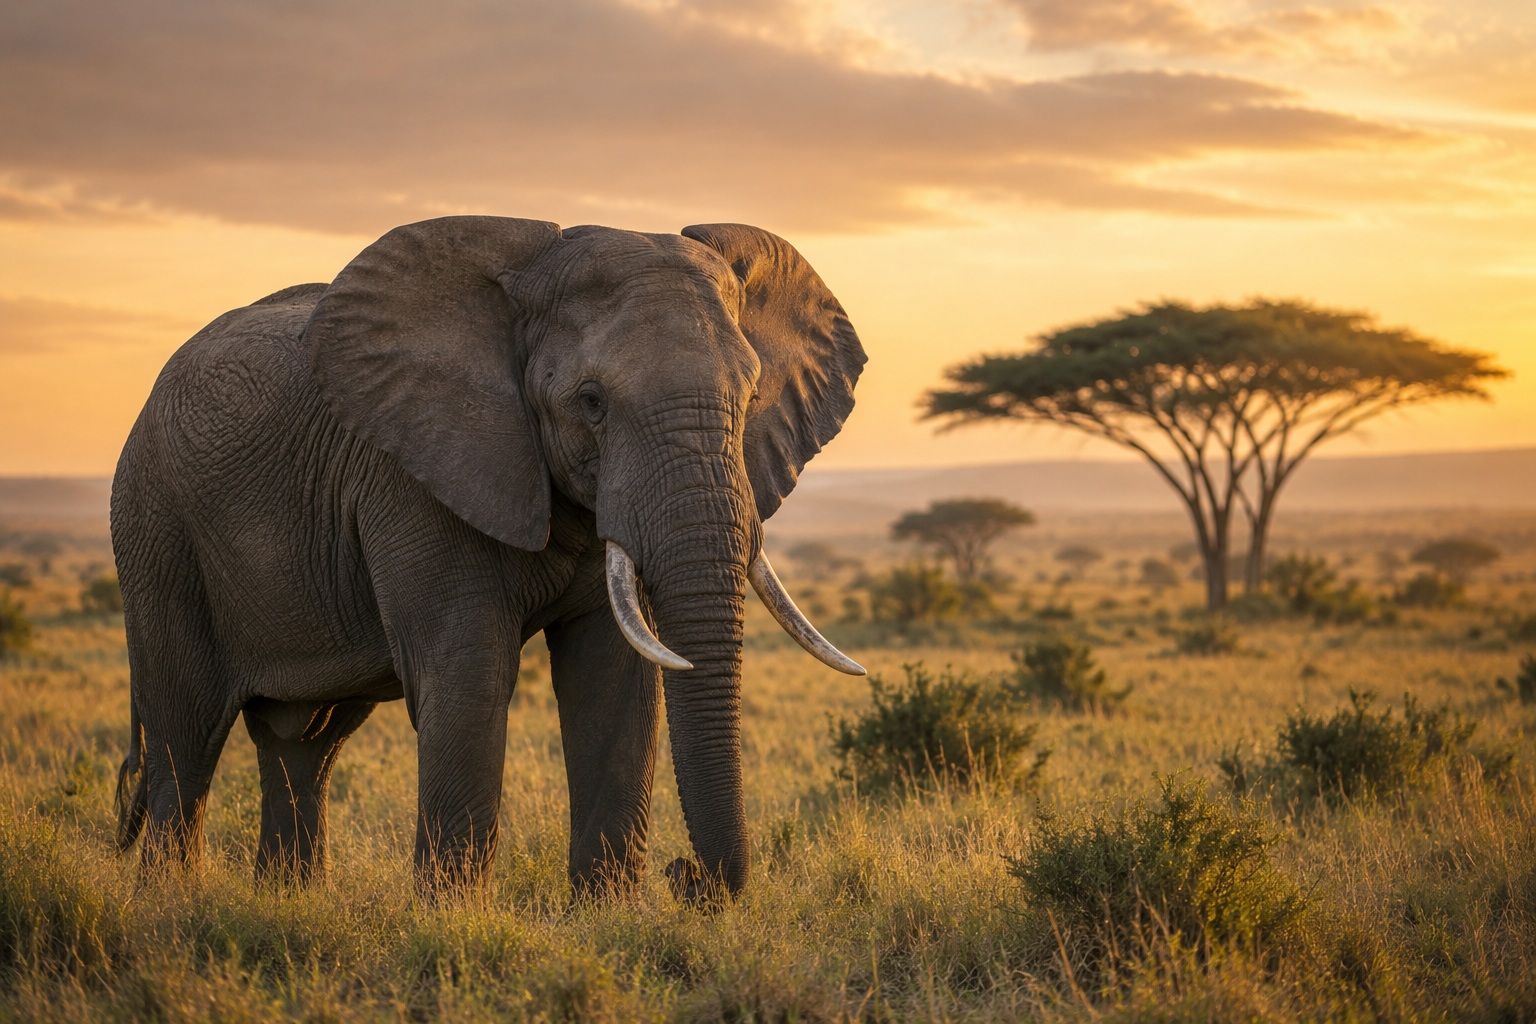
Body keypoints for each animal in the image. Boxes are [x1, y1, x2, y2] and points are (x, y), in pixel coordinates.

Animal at [110, 217, 866, 900]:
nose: (686, 878)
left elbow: (613, 680)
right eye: (591, 401)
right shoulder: (415, 471)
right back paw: (171, 903)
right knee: (186, 737)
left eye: (751, 396)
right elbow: (468, 673)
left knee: (305, 743)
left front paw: (607, 918)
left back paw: (288, 904)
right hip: (156, 525)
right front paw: (451, 918)